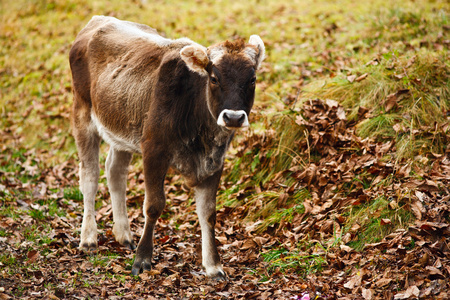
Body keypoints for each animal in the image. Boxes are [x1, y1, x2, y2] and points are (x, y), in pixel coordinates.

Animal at [67, 15, 264, 278]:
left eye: (252, 79)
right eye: (214, 78)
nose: (233, 117)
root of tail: (98, 20)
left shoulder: (215, 160)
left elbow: (208, 213)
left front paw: (213, 266)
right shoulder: (153, 149)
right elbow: (153, 205)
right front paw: (142, 260)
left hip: (122, 128)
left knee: (115, 173)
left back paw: (124, 235)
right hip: (82, 112)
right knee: (89, 176)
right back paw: (88, 238)